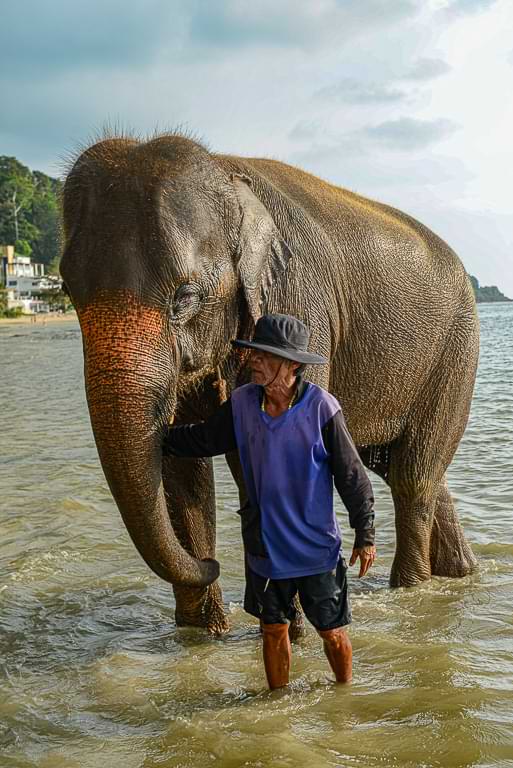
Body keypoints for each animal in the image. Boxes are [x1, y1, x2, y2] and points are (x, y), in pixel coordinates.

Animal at [60, 131, 478, 635]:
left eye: (185, 296)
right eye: (65, 291)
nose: (214, 565)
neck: (225, 172)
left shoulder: (298, 304)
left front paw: (289, 630)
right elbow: (184, 472)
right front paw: (202, 635)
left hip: (456, 354)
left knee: (414, 479)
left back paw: (411, 591)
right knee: (408, 471)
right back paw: (460, 574)